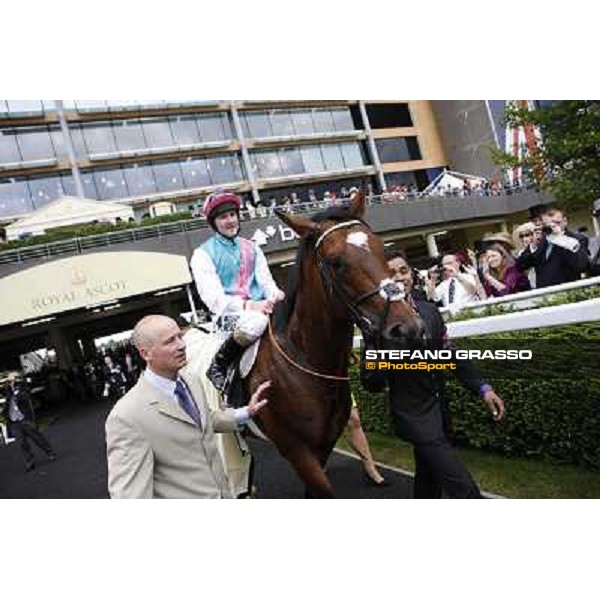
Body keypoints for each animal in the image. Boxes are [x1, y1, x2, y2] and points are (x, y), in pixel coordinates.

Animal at [241, 192, 424, 496]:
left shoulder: (324, 444)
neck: (304, 363)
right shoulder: (295, 449)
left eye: (380, 249)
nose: (408, 329)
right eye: (337, 262)